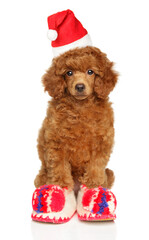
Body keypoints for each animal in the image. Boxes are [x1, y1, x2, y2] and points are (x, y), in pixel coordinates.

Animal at [34, 46, 118, 189]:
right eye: (69, 73)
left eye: (90, 72)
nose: (79, 86)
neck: (80, 107)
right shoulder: (56, 142)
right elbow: (59, 165)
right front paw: (61, 184)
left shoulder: (101, 141)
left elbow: (96, 163)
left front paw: (93, 183)